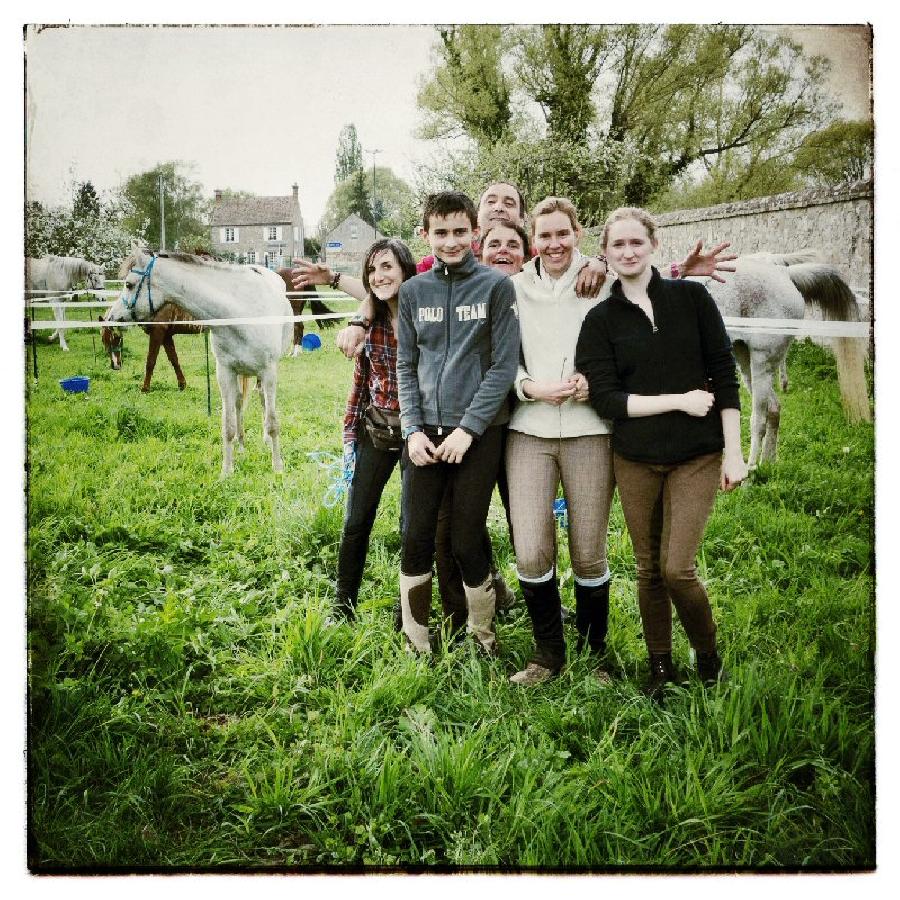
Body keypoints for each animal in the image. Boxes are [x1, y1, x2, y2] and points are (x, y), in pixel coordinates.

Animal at [106, 243, 292, 474]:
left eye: (129, 285)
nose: (112, 318)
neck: (240, 312)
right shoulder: (225, 373)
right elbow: (228, 425)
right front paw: (227, 471)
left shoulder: (269, 372)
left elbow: (273, 422)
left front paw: (278, 467)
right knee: (240, 403)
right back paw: (241, 445)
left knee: (263, 401)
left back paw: (265, 441)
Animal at [708, 250, 868, 468]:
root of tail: (785, 273)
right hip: (744, 358)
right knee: (773, 408)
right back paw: (766, 464)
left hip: (761, 360)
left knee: (759, 419)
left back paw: (750, 471)